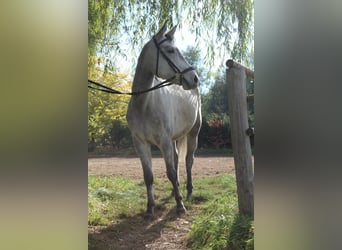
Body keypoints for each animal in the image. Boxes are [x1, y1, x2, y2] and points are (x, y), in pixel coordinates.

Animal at [125, 22, 200, 219]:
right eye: (170, 50)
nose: (194, 78)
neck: (144, 104)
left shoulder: (164, 141)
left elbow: (171, 173)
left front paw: (180, 206)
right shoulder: (140, 143)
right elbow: (148, 176)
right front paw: (150, 208)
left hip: (193, 133)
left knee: (188, 161)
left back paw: (188, 191)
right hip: (174, 138)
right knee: (177, 158)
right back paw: (176, 191)